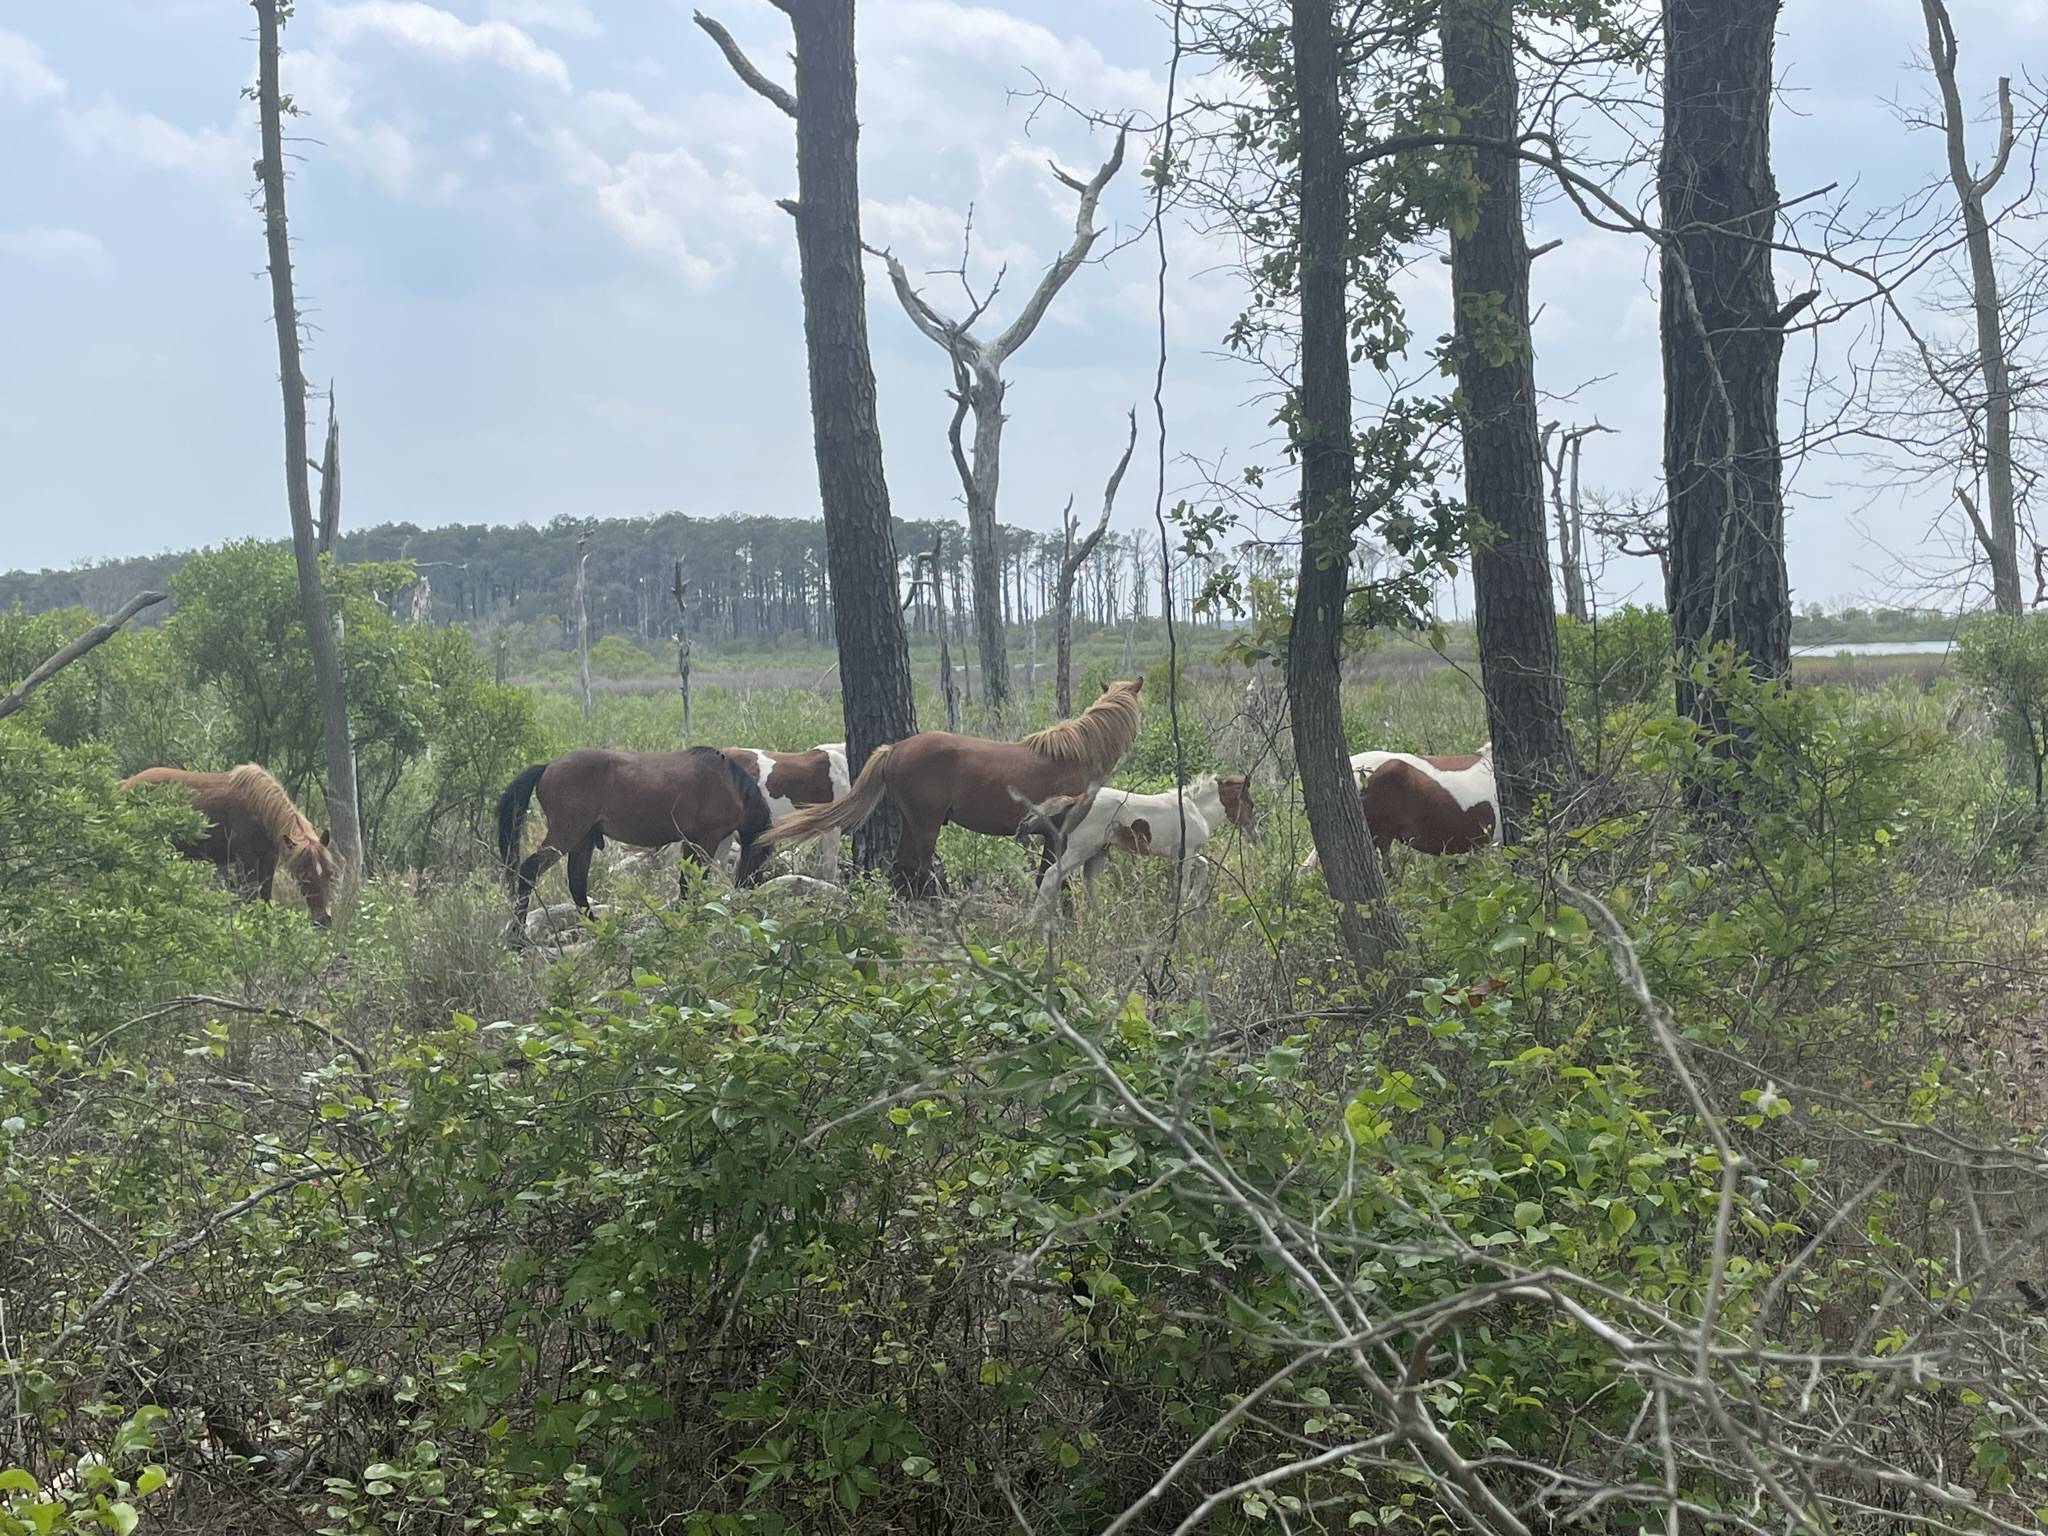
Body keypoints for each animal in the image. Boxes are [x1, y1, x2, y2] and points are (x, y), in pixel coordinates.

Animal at [119, 763, 338, 926]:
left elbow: (266, 898)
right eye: (304, 875)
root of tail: (126, 784)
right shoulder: (247, 859)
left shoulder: (269, 858)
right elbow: (252, 898)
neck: (259, 808)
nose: (323, 920)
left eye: (329, 873)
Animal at [495, 745, 775, 930]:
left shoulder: (691, 842)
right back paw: (517, 939)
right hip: (566, 834)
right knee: (530, 870)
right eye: (763, 855)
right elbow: (692, 883)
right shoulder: (705, 839)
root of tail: (548, 767)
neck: (730, 784)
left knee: (577, 884)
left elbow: (686, 883)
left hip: (583, 840)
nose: (750, 888)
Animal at [759, 679, 1145, 896]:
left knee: (901, 869)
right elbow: (1050, 877)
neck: (1073, 756)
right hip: (926, 824)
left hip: (912, 823)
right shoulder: (1057, 832)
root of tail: (894, 749)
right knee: (921, 869)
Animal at [1025, 773, 1258, 925]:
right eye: (1250, 802)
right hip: (1079, 850)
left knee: (1085, 883)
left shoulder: (1181, 854)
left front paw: (1195, 900)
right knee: (1051, 875)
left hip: (1097, 852)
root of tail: (1076, 801)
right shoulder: (1186, 852)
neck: (1195, 809)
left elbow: (1204, 867)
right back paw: (1032, 924)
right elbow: (1183, 888)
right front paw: (1183, 911)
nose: (1253, 834)